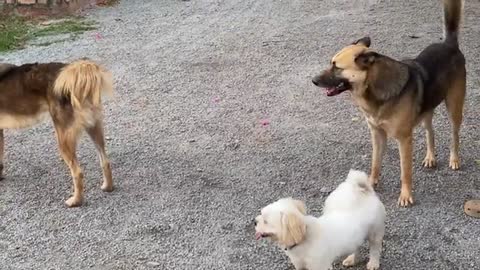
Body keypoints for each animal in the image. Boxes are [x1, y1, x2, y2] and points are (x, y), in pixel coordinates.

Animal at [0, 59, 114, 207]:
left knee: (78, 173)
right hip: (94, 129)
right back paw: (108, 187)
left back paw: (76, 201)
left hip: (63, 139)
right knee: (105, 161)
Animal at [312, 0, 464, 207]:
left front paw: (406, 196)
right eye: (331, 63)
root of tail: (449, 44)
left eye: (337, 67)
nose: (313, 80)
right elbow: (375, 163)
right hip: (427, 109)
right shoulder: (377, 134)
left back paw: (454, 159)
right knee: (430, 131)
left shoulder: (404, 140)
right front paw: (370, 184)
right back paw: (430, 157)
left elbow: (405, 172)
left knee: (454, 136)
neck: (376, 90)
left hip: (454, 108)